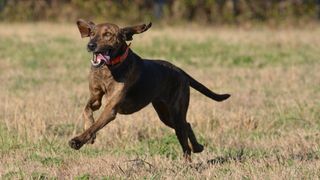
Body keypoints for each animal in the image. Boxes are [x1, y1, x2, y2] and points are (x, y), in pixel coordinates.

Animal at [69, 19, 230, 161]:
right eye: (92, 33)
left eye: (108, 34)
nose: (90, 45)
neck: (109, 68)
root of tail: (180, 71)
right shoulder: (96, 98)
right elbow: (87, 111)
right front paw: (90, 134)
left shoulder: (111, 108)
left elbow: (95, 125)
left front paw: (77, 141)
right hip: (165, 114)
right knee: (187, 124)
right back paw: (198, 147)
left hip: (176, 112)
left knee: (184, 140)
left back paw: (189, 160)